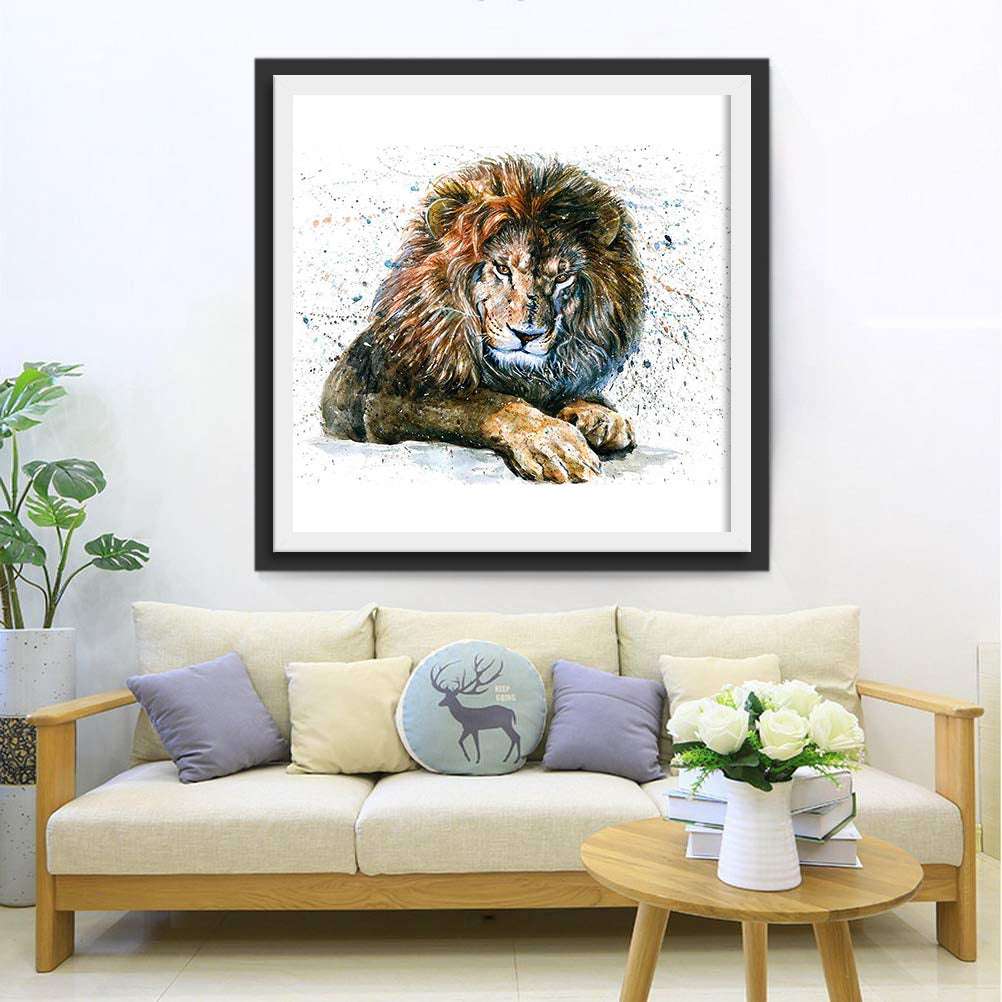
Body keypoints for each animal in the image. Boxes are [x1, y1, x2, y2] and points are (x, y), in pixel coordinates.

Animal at [320, 155, 646, 483]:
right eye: (502, 268)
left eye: (562, 278)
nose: (527, 335)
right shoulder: (380, 400)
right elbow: (491, 404)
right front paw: (553, 443)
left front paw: (600, 415)